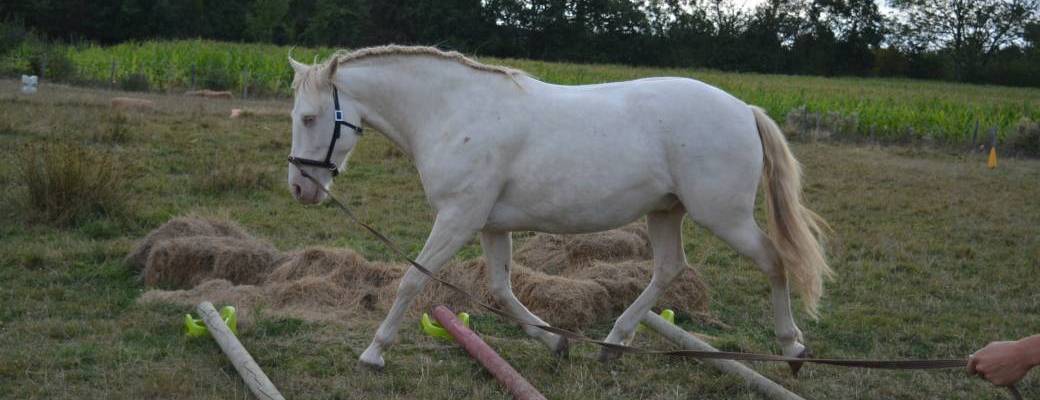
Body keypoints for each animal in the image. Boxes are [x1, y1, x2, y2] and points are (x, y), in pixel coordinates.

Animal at [285, 45, 831, 370]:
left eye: (309, 117)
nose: (300, 187)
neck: (454, 112)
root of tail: (744, 109)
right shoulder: (489, 225)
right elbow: (501, 290)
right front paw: (555, 342)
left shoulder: (458, 217)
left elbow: (413, 281)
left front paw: (374, 352)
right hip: (665, 211)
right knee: (669, 269)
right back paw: (613, 342)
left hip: (723, 216)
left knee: (775, 261)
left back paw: (793, 348)